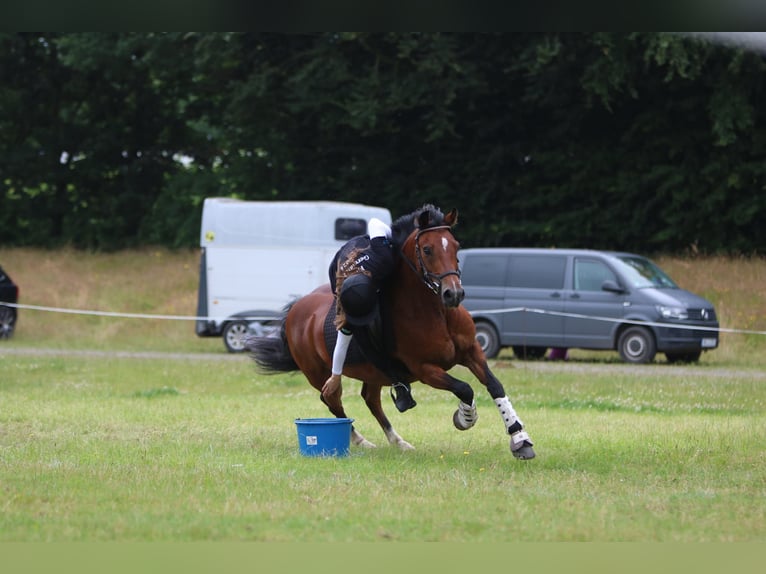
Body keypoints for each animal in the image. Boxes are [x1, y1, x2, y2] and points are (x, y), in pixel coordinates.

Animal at [249, 205, 536, 462]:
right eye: (427, 249)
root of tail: (296, 308)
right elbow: (464, 388)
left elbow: (494, 385)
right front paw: (465, 417)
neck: (436, 313)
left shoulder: (472, 352)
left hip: (373, 372)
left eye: (456, 247)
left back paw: (398, 441)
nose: (453, 294)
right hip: (318, 373)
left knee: (370, 399)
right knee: (331, 398)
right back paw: (361, 440)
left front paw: (519, 438)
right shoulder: (425, 369)